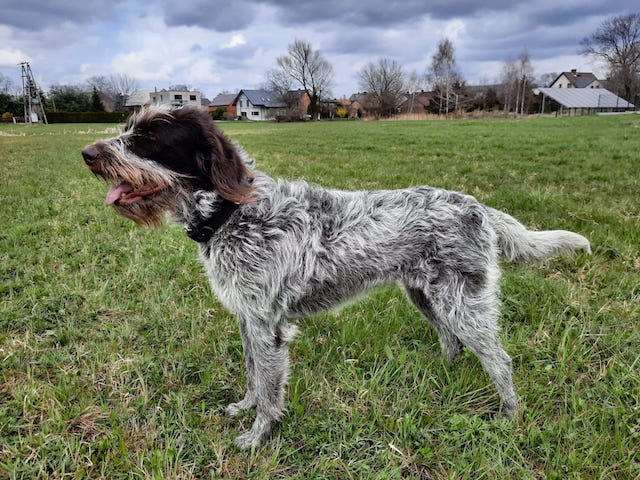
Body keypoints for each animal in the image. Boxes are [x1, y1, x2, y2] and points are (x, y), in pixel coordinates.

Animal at [82, 105, 591, 449]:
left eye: (149, 137)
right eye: (129, 129)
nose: (87, 153)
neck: (233, 213)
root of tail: (479, 207)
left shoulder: (269, 326)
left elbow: (270, 388)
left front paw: (257, 436)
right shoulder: (248, 318)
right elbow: (252, 376)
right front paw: (245, 409)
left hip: (463, 302)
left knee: (499, 360)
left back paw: (508, 415)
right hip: (426, 296)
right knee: (452, 342)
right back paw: (443, 375)